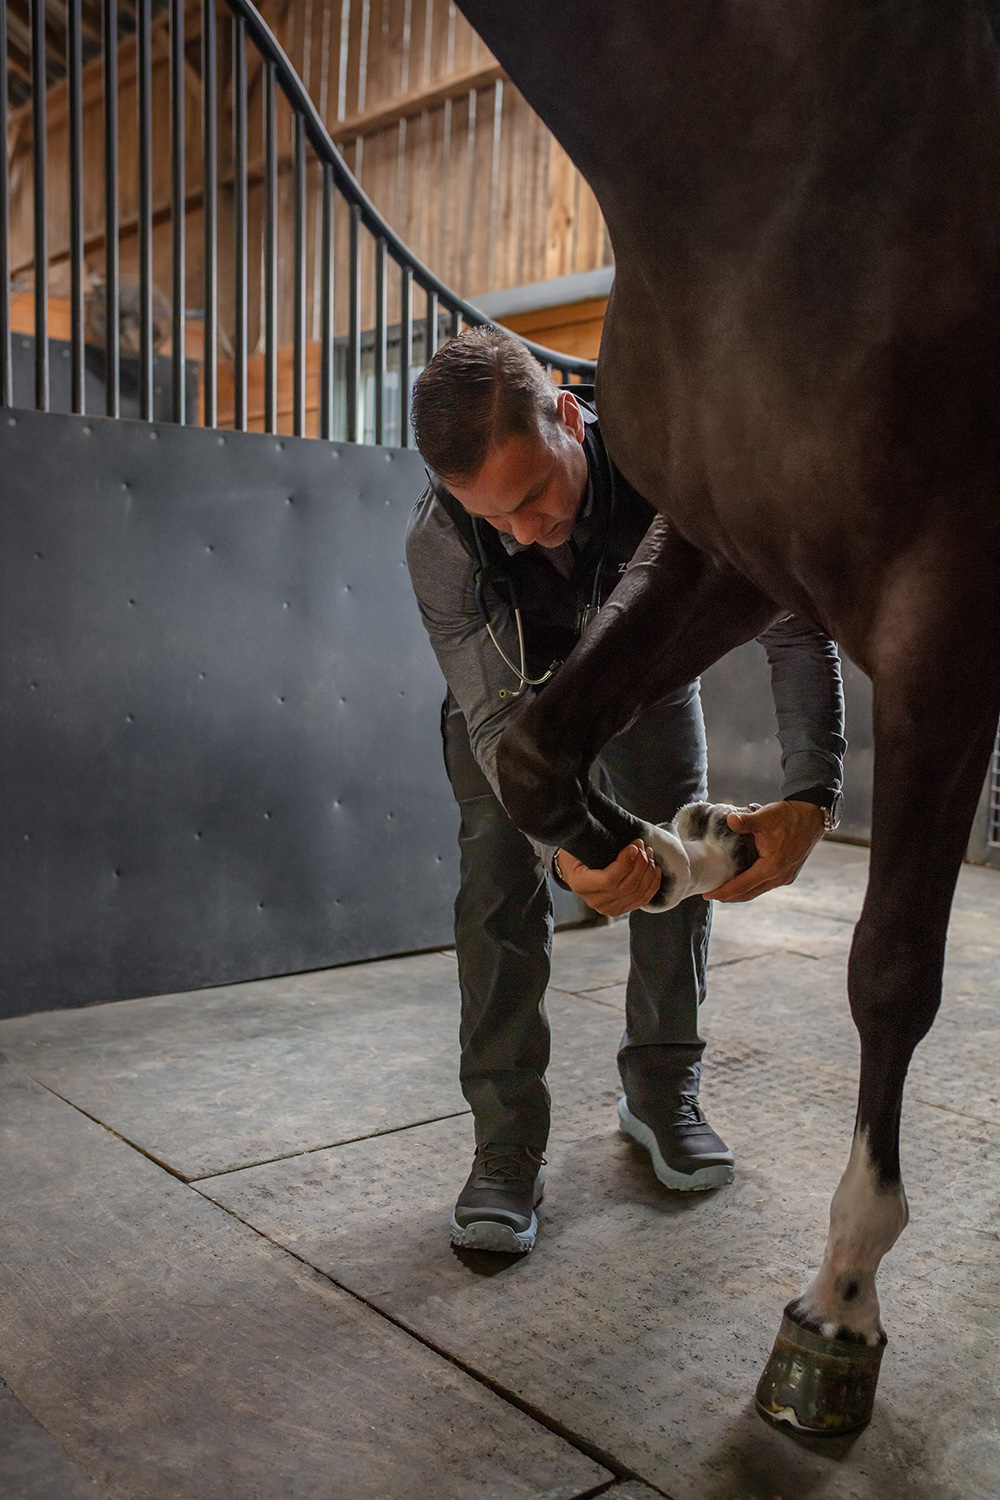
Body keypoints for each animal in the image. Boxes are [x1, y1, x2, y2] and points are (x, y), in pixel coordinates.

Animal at [454, 0, 1000, 1434]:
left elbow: (890, 971)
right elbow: (532, 752)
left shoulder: (945, 619)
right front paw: (687, 850)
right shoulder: (715, 551)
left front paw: (839, 1309)